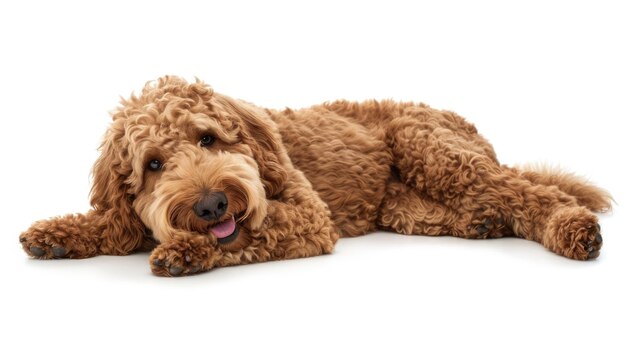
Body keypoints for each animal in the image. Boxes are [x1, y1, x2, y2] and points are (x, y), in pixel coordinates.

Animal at [19, 75, 608, 276]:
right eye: (154, 165)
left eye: (207, 138)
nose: (211, 205)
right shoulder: (129, 217)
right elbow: (111, 224)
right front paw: (57, 234)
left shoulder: (306, 214)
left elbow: (248, 235)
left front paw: (187, 251)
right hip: (402, 201)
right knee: (477, 206)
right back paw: (484, 223)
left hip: (430, 147)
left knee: (528, 191)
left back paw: (573, 227)